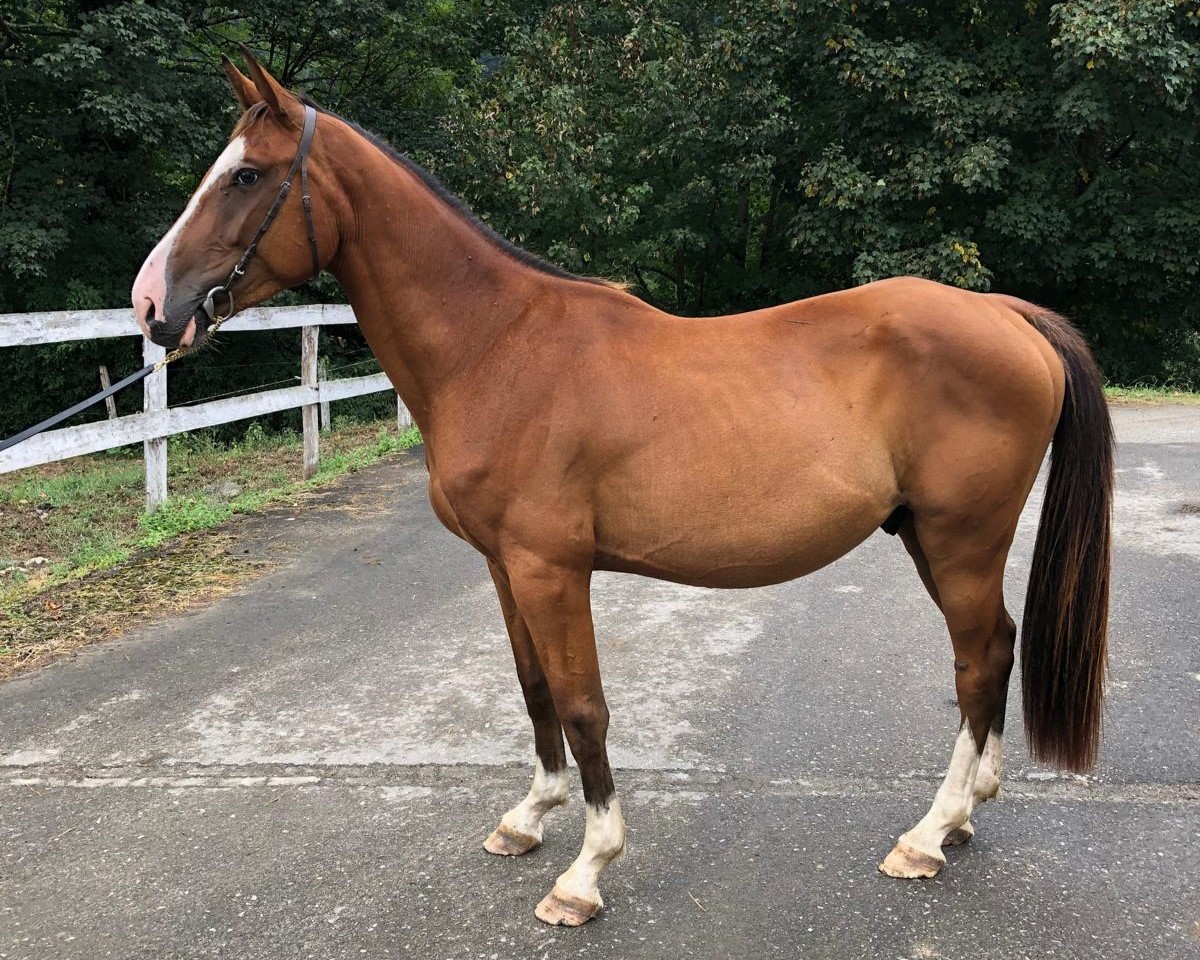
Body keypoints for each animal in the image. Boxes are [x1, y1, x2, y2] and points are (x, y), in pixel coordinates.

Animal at [130, 49, 1113, 927]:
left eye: (246, 175)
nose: (149, 307)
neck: (498, 346)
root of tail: (1006, 314)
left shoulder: (552, 568)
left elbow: (583, 706)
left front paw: (585, 873)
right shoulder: (505, 568)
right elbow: (534, 692)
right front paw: (529, 818)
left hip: (960, 538)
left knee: (979, 659)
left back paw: (929, 833)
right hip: (925, 536)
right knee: (996, 652)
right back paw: (967, 813)